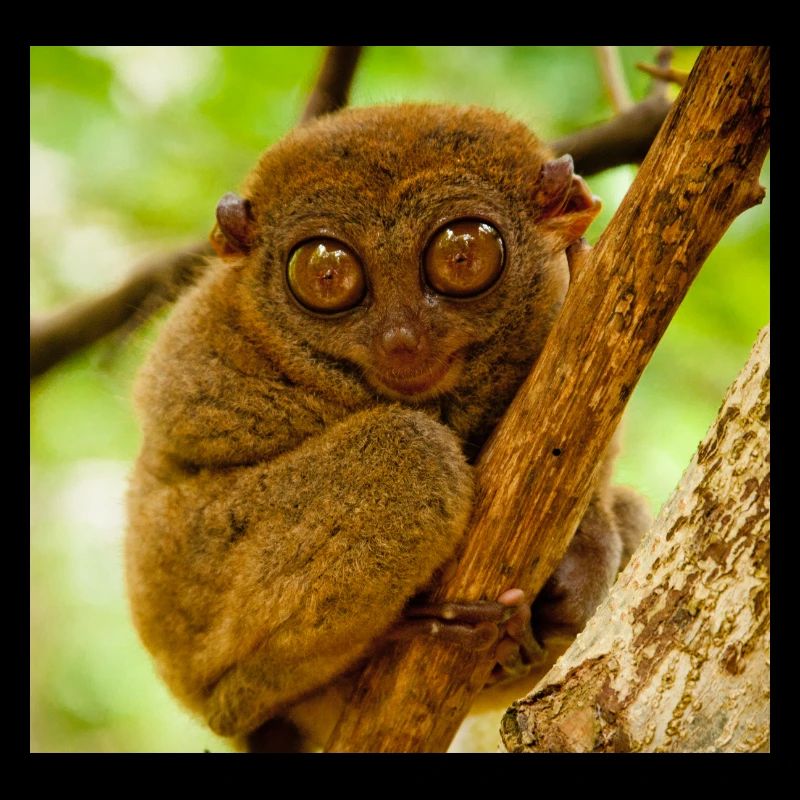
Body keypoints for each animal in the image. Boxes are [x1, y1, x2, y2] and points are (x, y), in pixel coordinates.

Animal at [125, 104, 650, 752]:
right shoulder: (207, 345)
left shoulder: (572, 301)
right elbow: (186, 406)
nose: (401, 338)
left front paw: (586, 558)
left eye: (462, 257)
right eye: (326, 275)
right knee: (408, 451)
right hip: (191, 590)